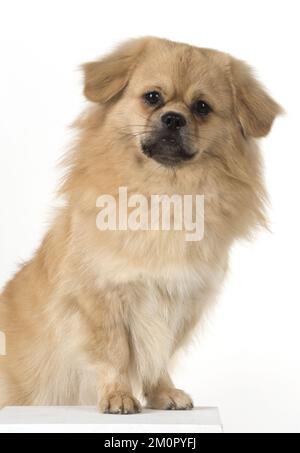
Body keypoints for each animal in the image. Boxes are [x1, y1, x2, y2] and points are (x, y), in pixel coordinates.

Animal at [0, 38, 282, 414]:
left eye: (202, 107)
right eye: (152, 97)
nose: (174, 118)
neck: (165, 194)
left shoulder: (180, 301)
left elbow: (158, 354)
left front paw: (163, 394)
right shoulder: (101, 297)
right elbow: (116, 353)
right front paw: (118, 396)